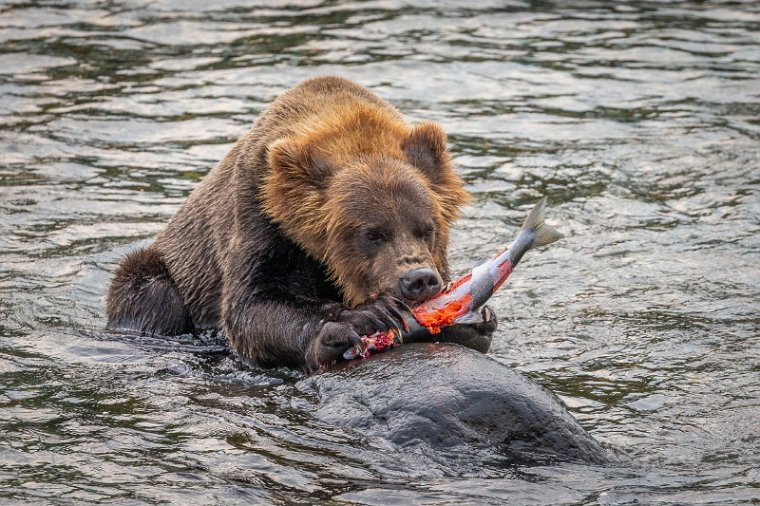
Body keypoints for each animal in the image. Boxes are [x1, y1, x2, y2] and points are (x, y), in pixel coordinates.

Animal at [107, 77, 498, 370]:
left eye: (426, 228)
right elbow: (253, 303)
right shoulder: (260, 212)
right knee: (151, 292)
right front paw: (362, 318)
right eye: (372, 234)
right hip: (166, 272)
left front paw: (475, 321)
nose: (418, 280)